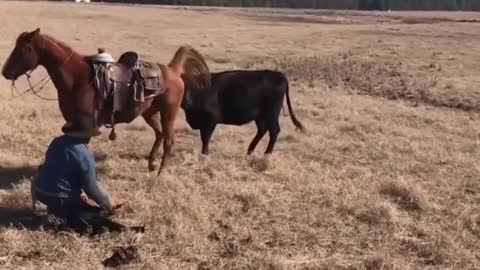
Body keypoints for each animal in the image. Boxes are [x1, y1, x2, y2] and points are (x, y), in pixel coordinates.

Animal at [1, 27, 211, 175]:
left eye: (22, 50)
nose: (5, 72)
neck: (77, 77)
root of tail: (173, 70)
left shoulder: (85, 123)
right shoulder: (72, 122)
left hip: (168, 114)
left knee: (168, 141)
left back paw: (160, 173)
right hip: (149, 113)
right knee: (159, 134)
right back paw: (151, 164)